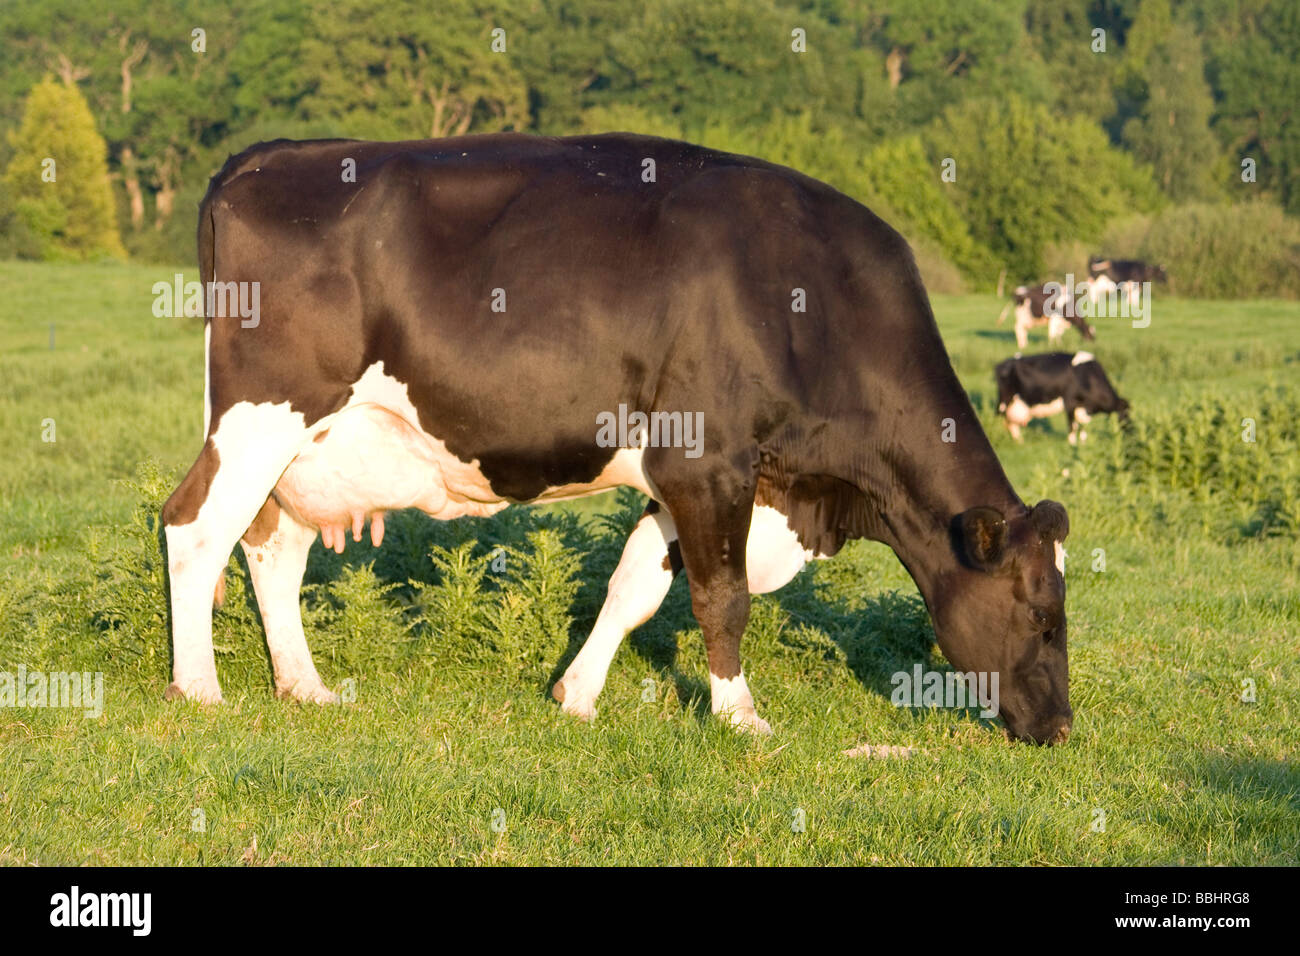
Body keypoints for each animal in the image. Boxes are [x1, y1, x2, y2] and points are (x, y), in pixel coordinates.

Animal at [161, 133, 1074, 745]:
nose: (1063, 726)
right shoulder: (708, 462)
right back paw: (199, 688)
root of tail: (268, 154)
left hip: (303, 448)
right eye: (1042, 613)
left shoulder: (700, 476)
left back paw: (304, 688)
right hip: (262, 413)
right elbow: (722, 596)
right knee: (195, 527)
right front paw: (741, 717)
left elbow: (634, 585)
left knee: (272, 548)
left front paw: (578, 695)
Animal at [995, 351, 1130, 444]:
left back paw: (1020, 441)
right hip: (1004, 400)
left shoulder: (1082, 408)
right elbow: (1072, 427)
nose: (1130, 433)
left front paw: (1084, 443)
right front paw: (1072, 445)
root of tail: (1002, 363)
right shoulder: (1069, 402)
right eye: (1126, 415)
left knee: (1011, 423)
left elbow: (1083, 427)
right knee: (999, 418)